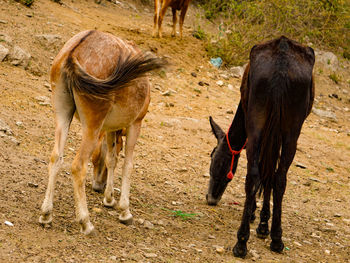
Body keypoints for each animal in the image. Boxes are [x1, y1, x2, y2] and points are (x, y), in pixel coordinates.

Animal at [38, 30, 165, 235]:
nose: (98, 185)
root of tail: (73, 53)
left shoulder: (110, 129)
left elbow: (111, 159)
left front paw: (109, 199)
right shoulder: (135, 124)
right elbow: (128, 165)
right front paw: (124, 211)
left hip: (62, 114)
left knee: (55, 158)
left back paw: (46, 214)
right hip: (92, 125)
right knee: (78, 166)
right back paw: (86, 222)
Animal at [206, 36, 316, 258]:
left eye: (213, 157)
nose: (210, 198)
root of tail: (282, 59)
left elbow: (266, 174)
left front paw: (256, 217)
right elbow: (269, 174)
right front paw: (262, 222)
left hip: (261, 124)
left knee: (259, 176)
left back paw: (244, 240)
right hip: (289, 131)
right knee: (276, 177)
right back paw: (271, 238)